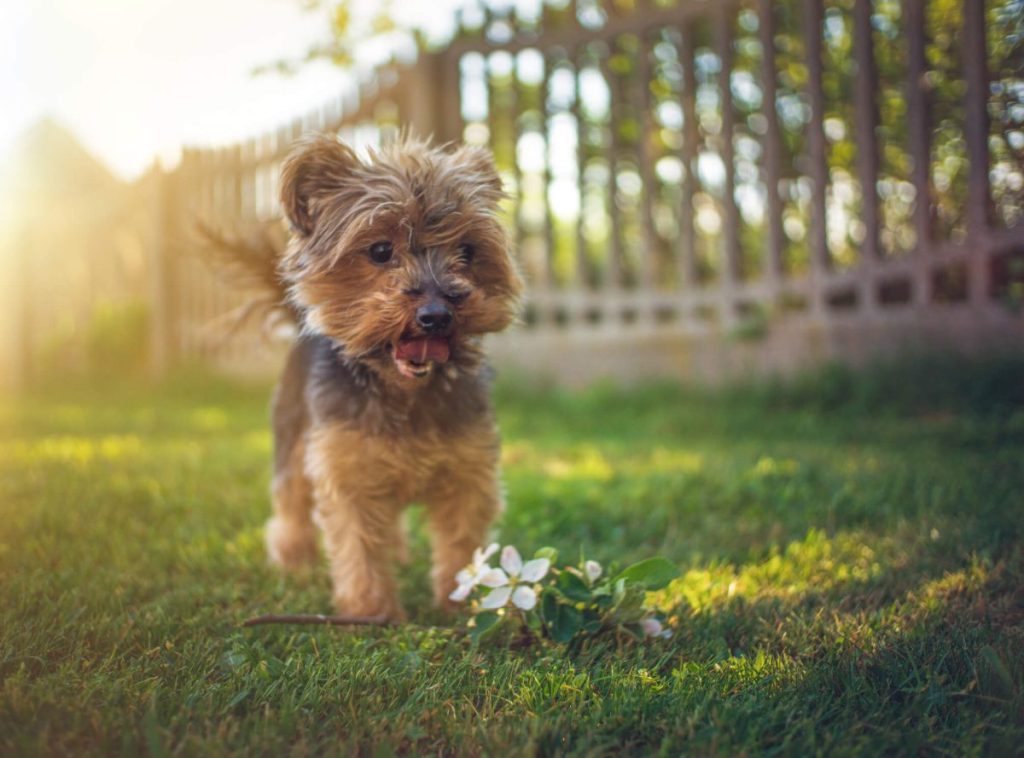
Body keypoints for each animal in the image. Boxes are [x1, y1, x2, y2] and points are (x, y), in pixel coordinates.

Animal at [227, 136, 524, 622]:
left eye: (467, 251)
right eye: (381, 250)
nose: (437, 315)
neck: (404, 391)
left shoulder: (469, 468)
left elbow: (462, 541)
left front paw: (462, 603)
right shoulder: (346, 469)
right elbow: (359, 544)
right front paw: (371, 613)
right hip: (292, 434)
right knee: (291, 503)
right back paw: (293, 561)